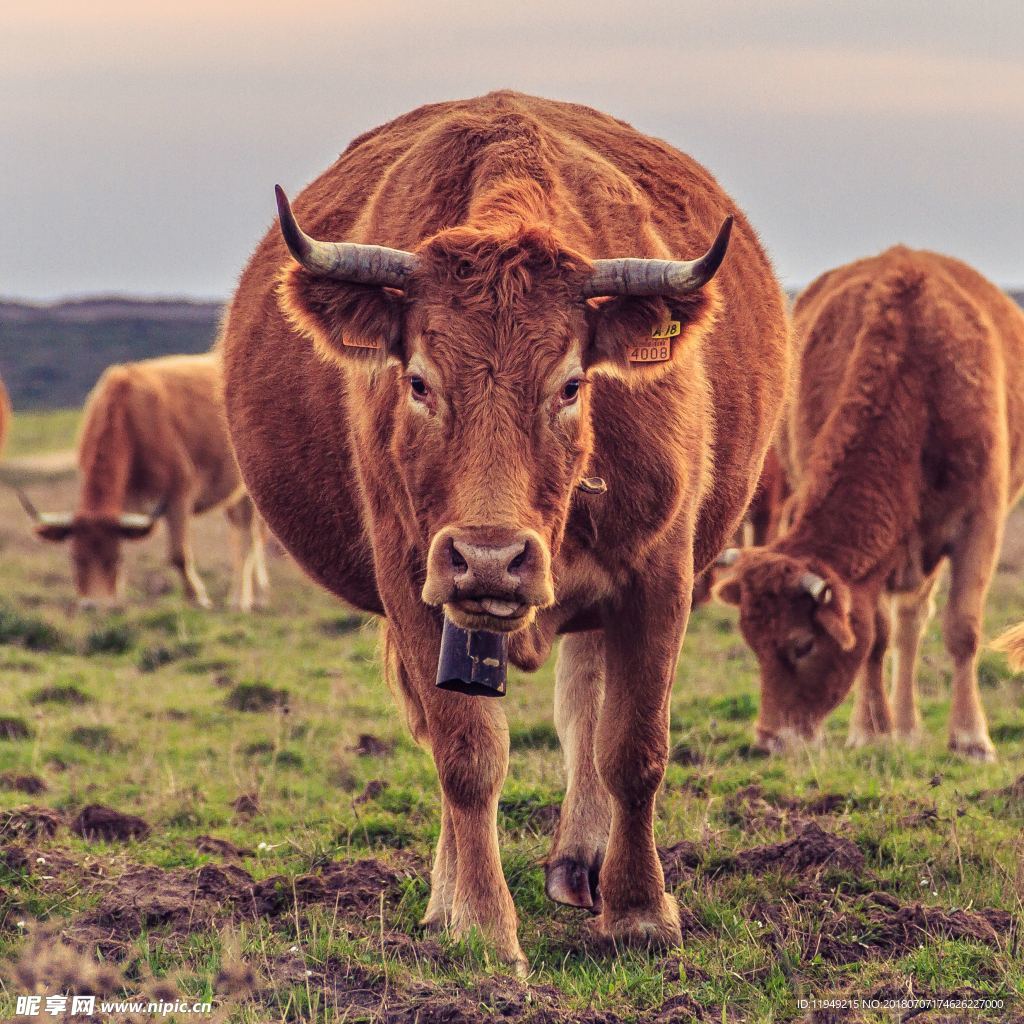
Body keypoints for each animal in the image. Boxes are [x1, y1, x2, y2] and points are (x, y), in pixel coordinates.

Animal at [20, 352, 268, 606]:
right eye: (76, 559)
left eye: (113, 559)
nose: (95, 605)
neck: (132, 418)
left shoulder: (178, 496)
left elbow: (178, 555)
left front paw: (197, 597)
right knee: (243, 536)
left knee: (249, 540)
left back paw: (241, 599)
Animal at [220, 90, 786, 966]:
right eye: (419, 382)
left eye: (571, 384)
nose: (491, 559)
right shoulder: (415, 581)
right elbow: (467, 757)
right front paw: (482, 926)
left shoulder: (660, 576)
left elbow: (634, 748)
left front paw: (639, 910)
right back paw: (449, 895)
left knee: (585, 714)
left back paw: (580, 864)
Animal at [712, 245, 1024, 761]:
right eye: (753, 644)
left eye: (802, 645)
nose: (769, 741)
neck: (917, 373)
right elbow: (874, 637)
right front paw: (871, 731)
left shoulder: (980, 523)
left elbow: (962, 629)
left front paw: (970, 738)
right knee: (905, 626)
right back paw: (902, 726)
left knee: (915, 622)